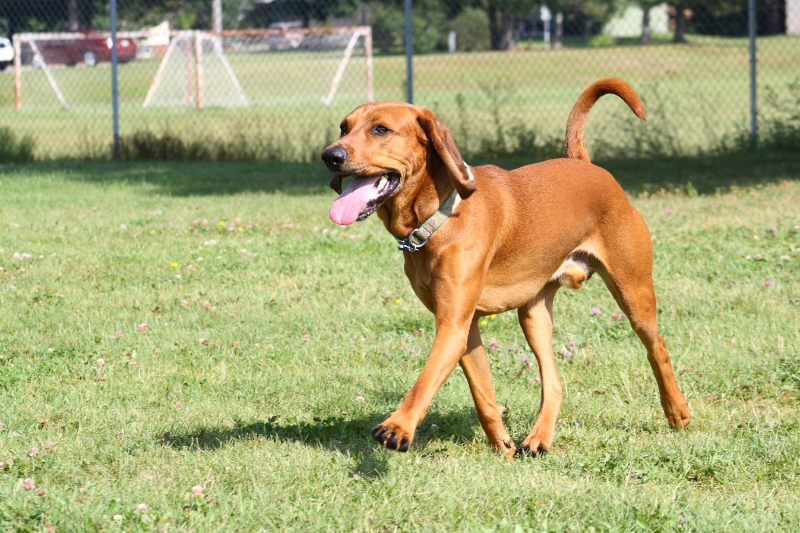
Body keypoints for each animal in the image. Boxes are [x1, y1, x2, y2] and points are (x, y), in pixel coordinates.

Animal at [322, 77, 692, 456]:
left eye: (381, 129)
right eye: (344, 127)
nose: (330, 156)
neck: (443, 214)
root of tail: (586, 164)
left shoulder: (452, 325)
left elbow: (424, 381)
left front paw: (398, 426)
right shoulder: (464, 328)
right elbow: (483, 394)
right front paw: (503, 447)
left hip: (634, 293)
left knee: (657, 347)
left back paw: (677, 412)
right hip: (534, 315)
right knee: (553, 383)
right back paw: (538, 439)